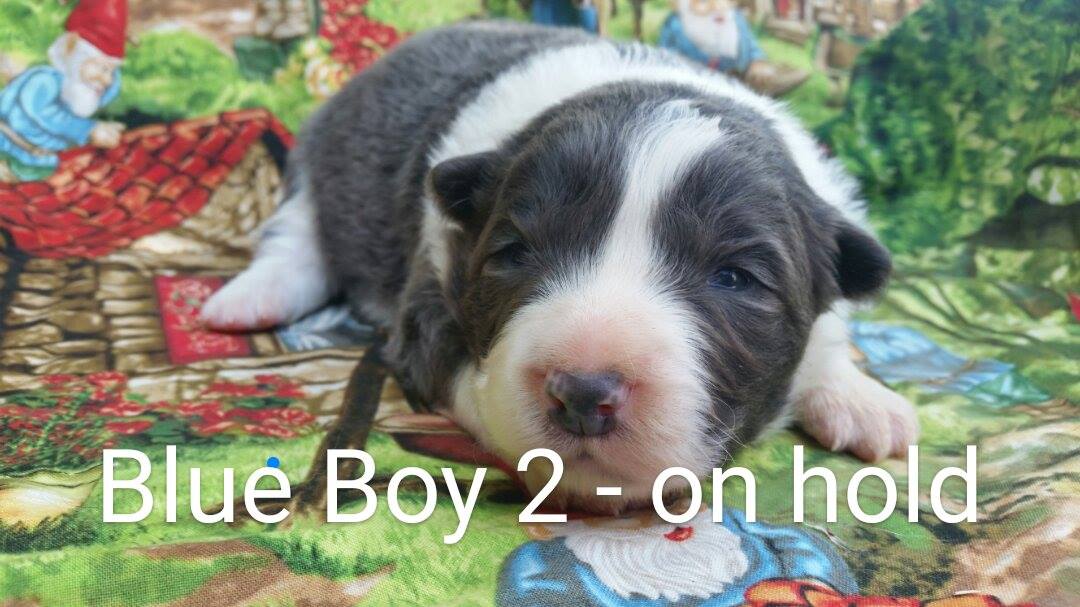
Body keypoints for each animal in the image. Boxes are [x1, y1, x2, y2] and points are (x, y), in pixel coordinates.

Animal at [201, 21, 918, 513]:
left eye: (735, 278)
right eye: (513, 253)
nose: (582, 393)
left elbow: (830, 332)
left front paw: (862, 398)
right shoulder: (427, 307)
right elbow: (473, 381)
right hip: (324, 150)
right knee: (299, 233)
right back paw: (247, 300)